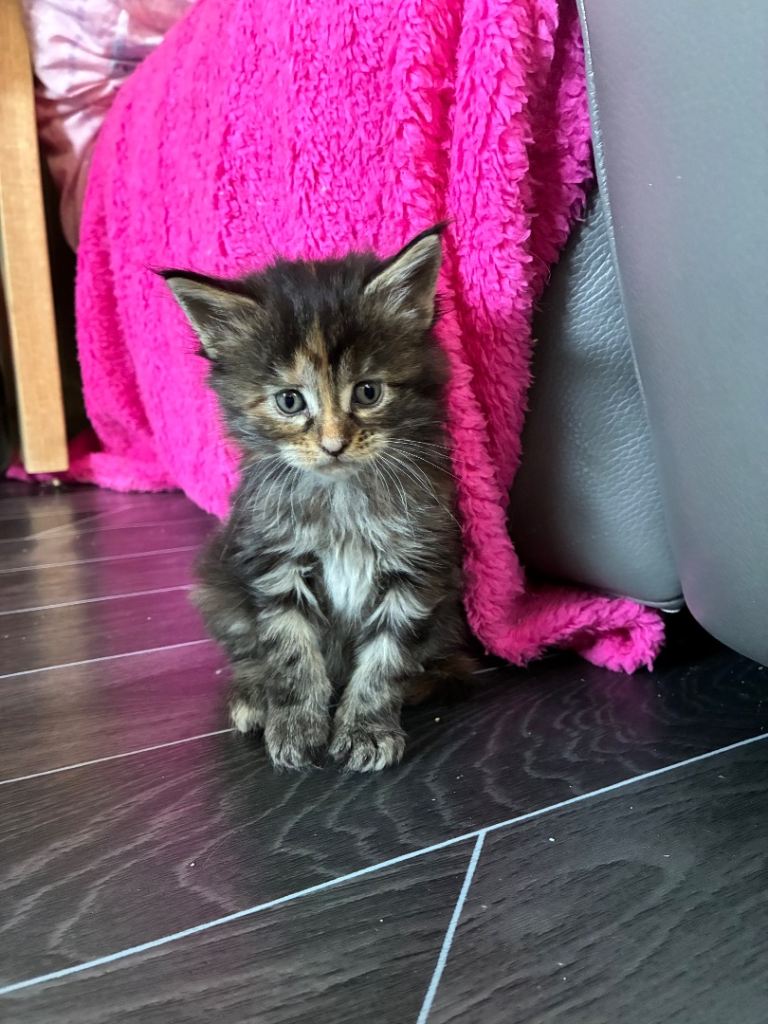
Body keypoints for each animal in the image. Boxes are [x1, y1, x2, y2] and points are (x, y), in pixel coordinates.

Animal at [161, 225, 471, 771]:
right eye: (289, 401)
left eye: (368, 392)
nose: (333, 444)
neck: (340, 494)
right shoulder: (275, 562)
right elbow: (290, 650)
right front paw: (296, 727)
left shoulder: (417, 565)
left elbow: (385, 659)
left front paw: (366, 728)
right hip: (217, 582)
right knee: (246, 649)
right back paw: (255, 696)